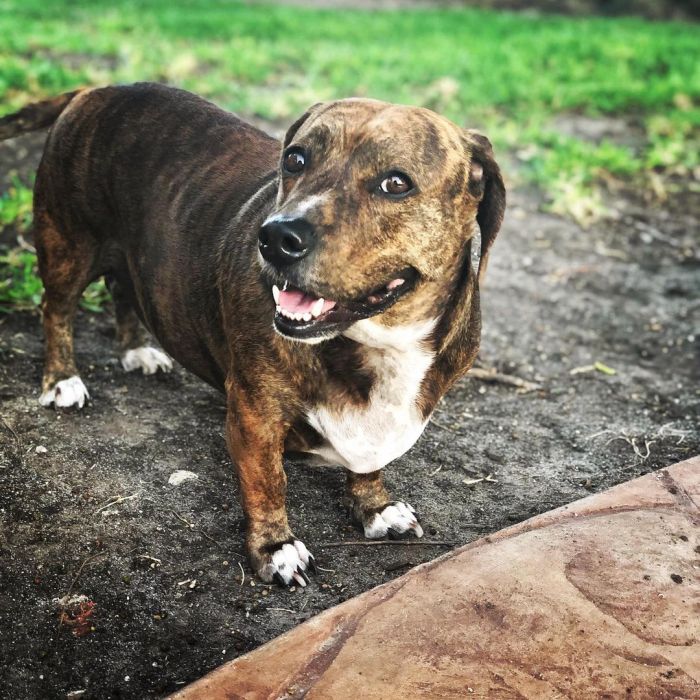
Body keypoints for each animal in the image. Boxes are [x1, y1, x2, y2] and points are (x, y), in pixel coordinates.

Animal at [0, 82, 506, 584]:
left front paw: (375, 506)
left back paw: (136, 350)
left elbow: (372, 462)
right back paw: (62, 379)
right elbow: (267, 483)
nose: (277, 238)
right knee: (56, 309)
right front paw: (276, 548)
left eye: (396, 183)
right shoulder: (253, 414)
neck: (379, 343)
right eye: (296, 159)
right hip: (68, 244)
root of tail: (95, 90)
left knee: (123, 289)